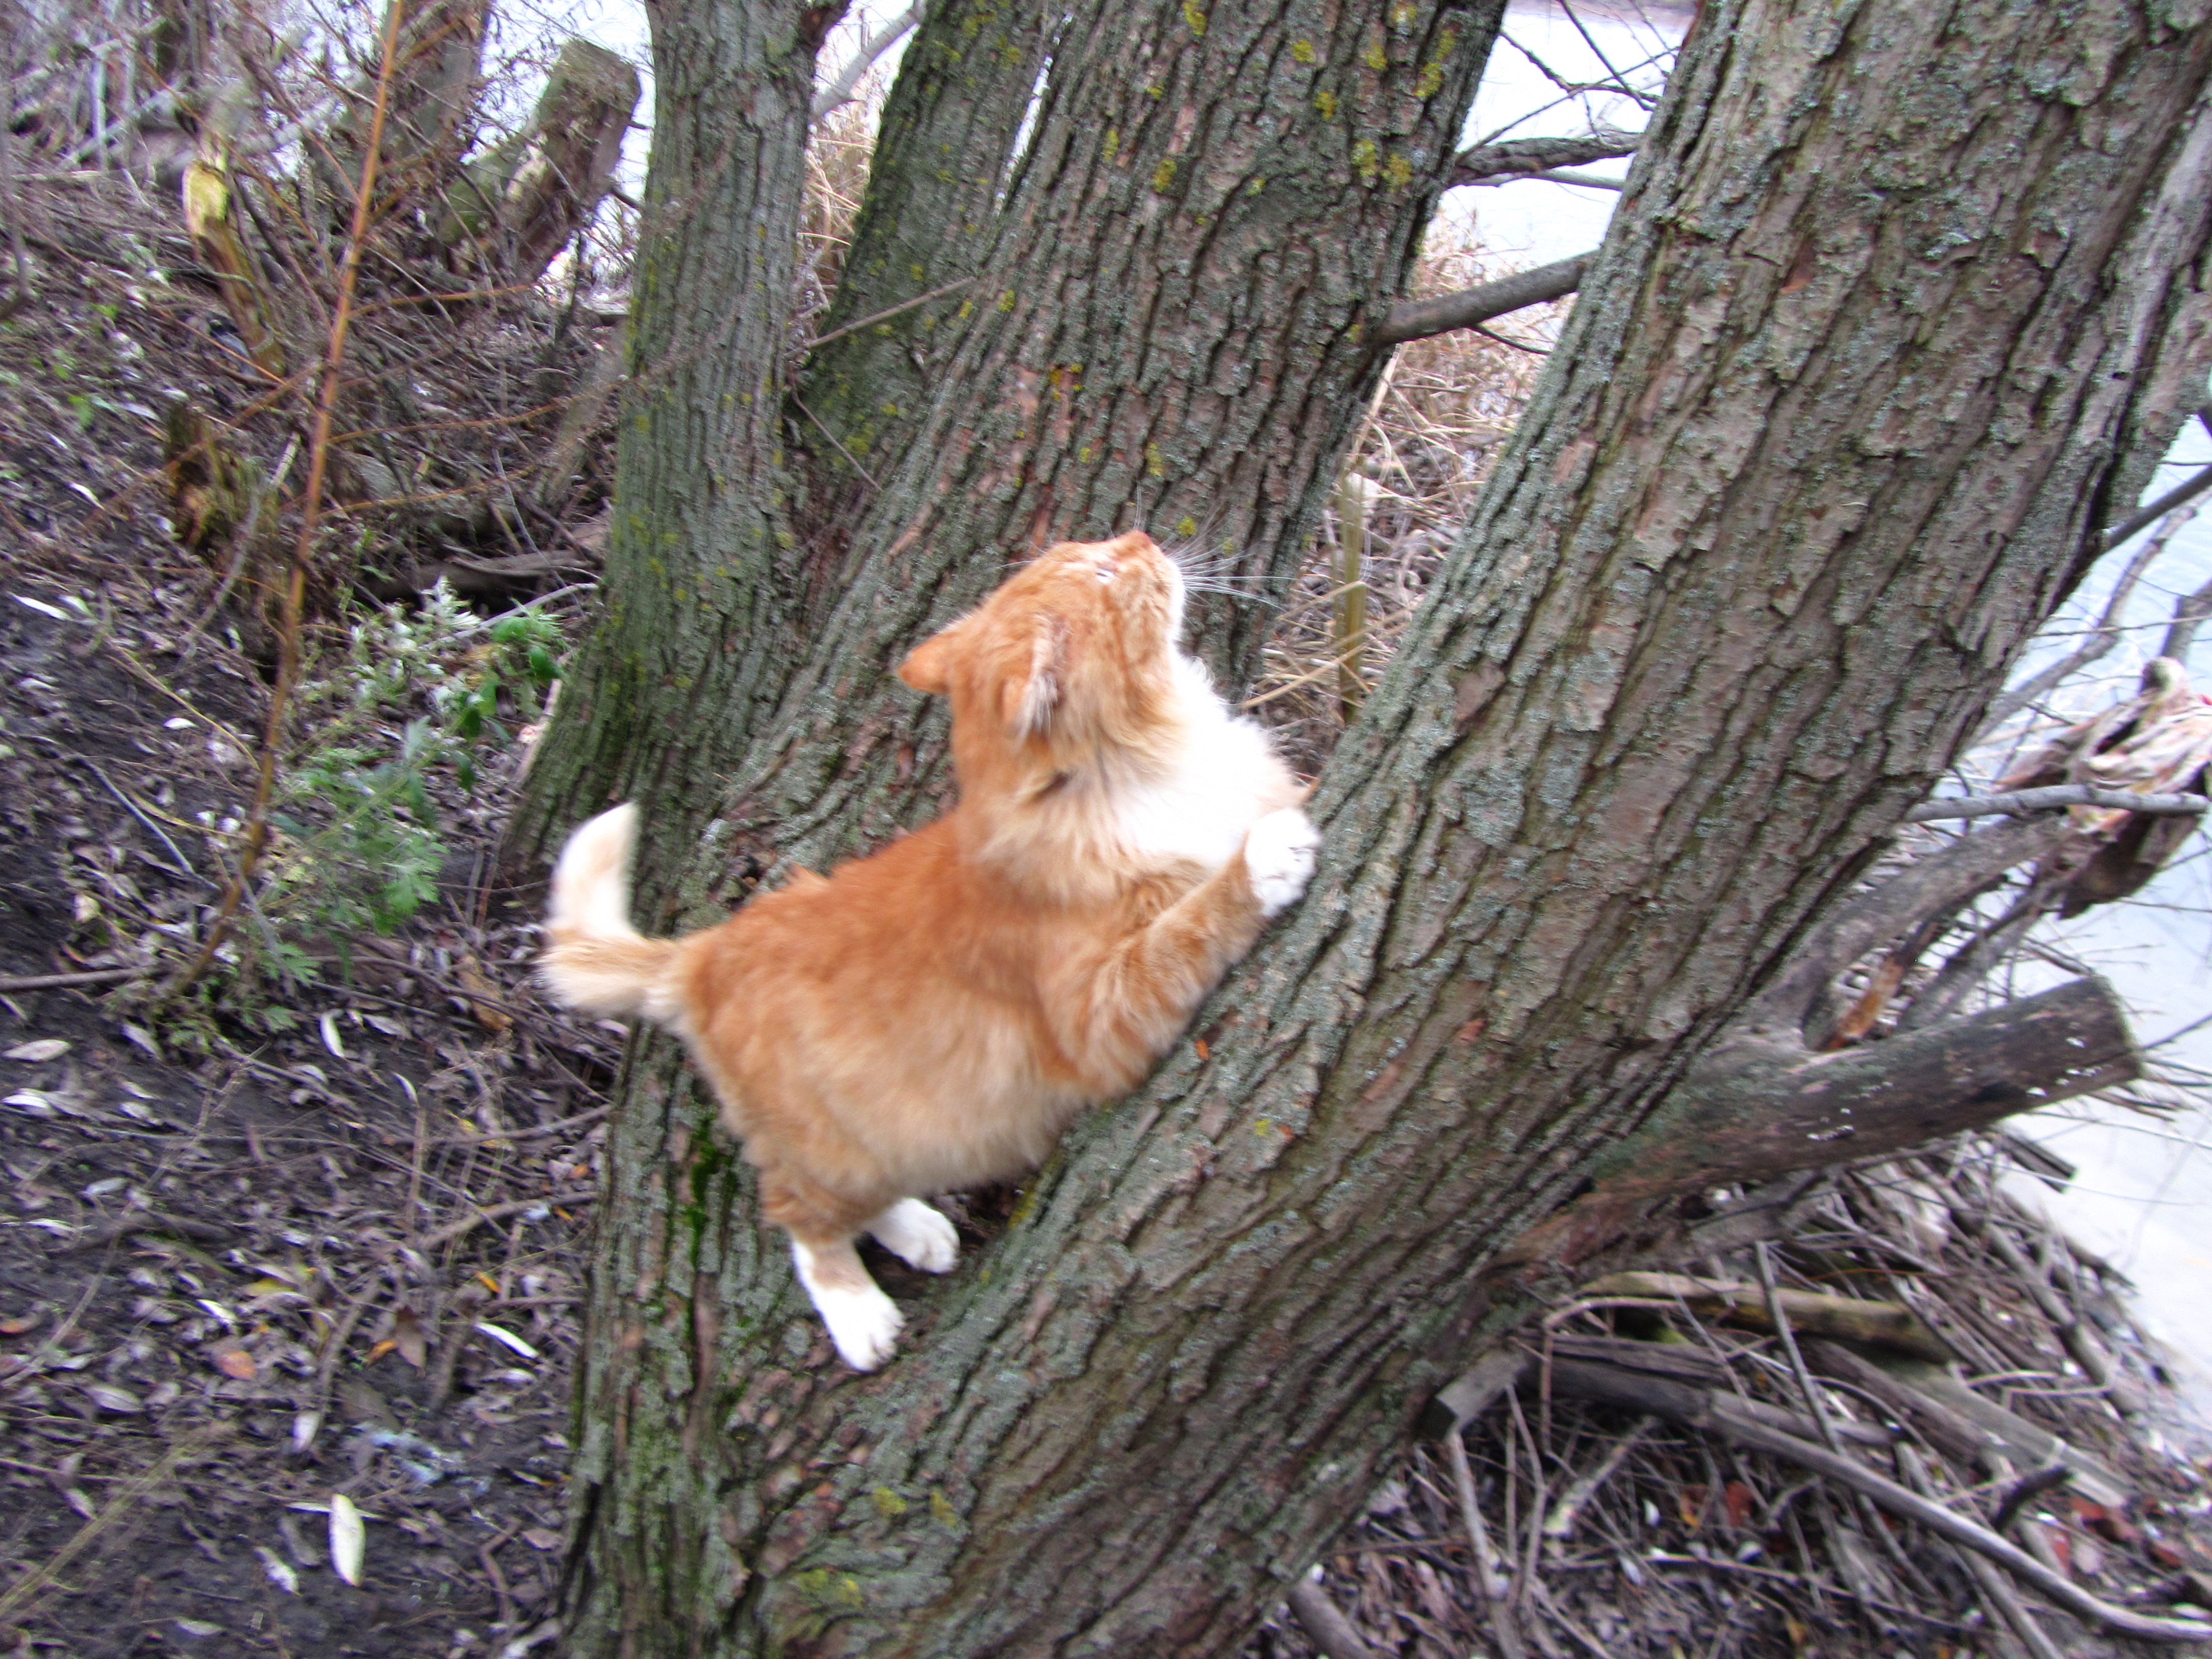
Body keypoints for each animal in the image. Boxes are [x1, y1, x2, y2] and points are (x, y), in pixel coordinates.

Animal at [544, 535, 1318, 1380]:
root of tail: (707, 949)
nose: (1141, 538)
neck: (1146, 768)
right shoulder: (1098, 1014)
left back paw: (920, 1232)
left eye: (1085, 549)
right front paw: (1266, 859)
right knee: (800, 1219)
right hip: (837, 1149)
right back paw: (860, 1314)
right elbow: (1189, 924)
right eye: (1101, 572)